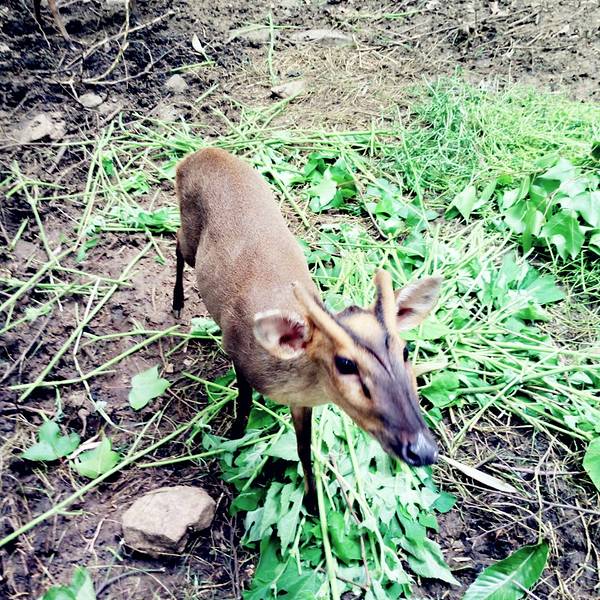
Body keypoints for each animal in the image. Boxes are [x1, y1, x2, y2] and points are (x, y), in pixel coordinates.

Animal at [173, 148, 441, 512]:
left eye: (406, 350)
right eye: (345, 363)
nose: (422, 450)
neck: (283, 377)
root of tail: (196, 156)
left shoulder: (303, 404)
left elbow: (305, 450)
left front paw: (314, 504)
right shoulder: (237, 354)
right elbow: (244, 404)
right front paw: (234, 435)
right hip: (190, 234)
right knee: (175, 244)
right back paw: (177, 303)